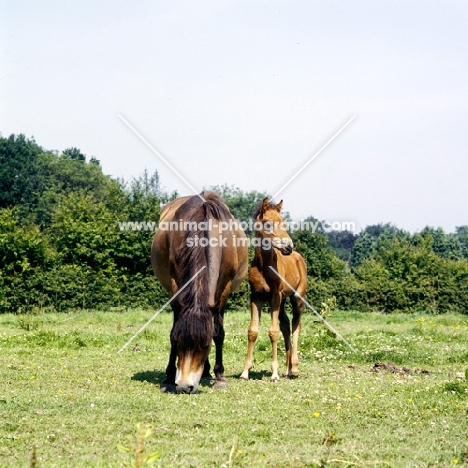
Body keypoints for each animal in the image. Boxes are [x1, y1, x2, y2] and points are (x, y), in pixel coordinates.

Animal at [153, 192, 249, 394]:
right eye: (180, 340)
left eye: (205, 345)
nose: (184, 387)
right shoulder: (176, 286)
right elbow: (173, 330)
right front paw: (168, 378)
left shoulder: (224, 290)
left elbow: (218, 333)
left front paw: (220, 378)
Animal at [241, 197, 308, 380]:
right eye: (268, 224)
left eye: (284, 223)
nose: (288, 246)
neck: (264, 266)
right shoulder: (256, 297)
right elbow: (252, 331)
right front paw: (245, 372)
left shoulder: (274, 297)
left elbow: (273, 332)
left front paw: (274, 374)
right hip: (283, 300)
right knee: (286, 324)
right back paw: (288, 370)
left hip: (297, 298)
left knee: (296, 324)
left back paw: (295, 369)